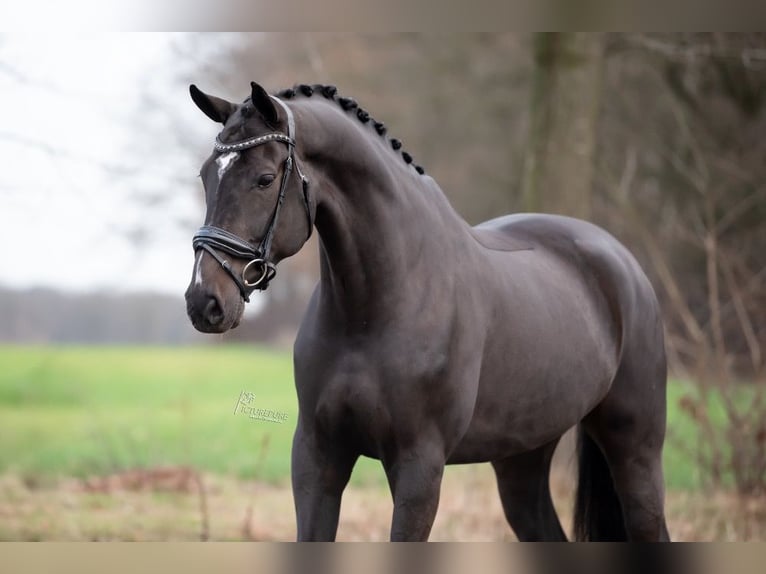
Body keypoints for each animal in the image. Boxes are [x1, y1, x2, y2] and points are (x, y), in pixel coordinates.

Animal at [184, 81, 670, 542]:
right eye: (206, 176)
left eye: (265, 179)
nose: (203, 302)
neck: (373, 311)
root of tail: (623, 264)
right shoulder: (317, 457)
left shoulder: (419, 467)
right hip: (522, 461)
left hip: (635, 449)